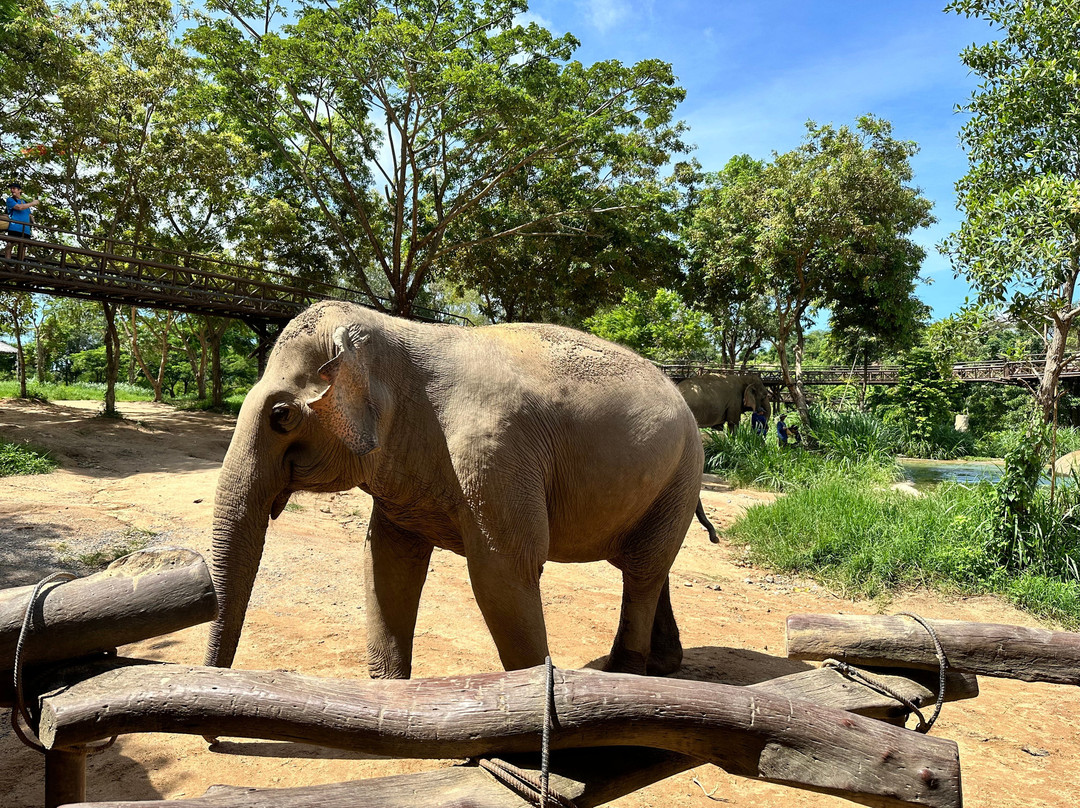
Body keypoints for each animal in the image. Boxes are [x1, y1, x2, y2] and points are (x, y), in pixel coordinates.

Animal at [204, 300, 704, 681]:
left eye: (282, 416)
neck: (399, 336)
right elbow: (385, 561)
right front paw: (390, 692)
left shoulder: (496, 453)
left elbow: (502, 572)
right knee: (648, 567)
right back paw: (660, 666)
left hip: (684, 470)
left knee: (642, 571)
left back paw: (627, 675)